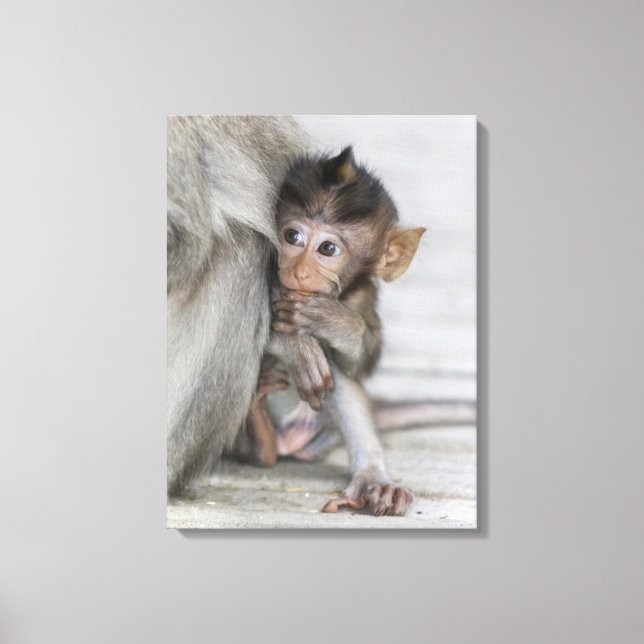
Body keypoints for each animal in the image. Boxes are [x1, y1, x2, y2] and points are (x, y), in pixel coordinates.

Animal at [235, 146, 426, 516]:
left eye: (327, 249)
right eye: (292, 237)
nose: (299, 271)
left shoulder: (361, 297)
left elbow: (359, 364)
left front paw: (331, 321)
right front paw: (295, 345)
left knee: (337, 372)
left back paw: (372, 480)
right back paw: (260, 437)